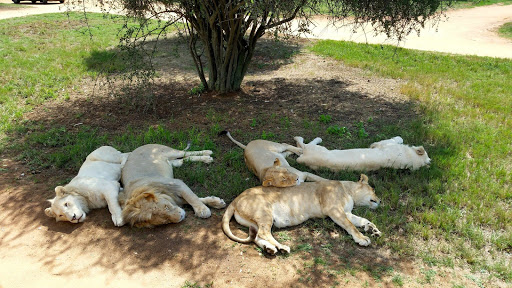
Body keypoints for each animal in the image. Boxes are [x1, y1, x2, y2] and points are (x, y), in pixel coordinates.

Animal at [222, 174, 382, 255]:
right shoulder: (334, 210)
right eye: (373, 189)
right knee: (263, 232)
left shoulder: (346, 212)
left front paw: (372, 229)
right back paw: (282, 247)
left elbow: (361, 220)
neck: (348, 190)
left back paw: (270, 249)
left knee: (256, 236)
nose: (380, 201)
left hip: (254, 221)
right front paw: (362, 238)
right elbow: (350, 226)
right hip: (264, 212)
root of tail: (236, 198)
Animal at [294, 137, 430, 172]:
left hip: (317, 148)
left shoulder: (385, 143)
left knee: (303, 144)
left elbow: (396, 138)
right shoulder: (385, 144)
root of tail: (305, 158)